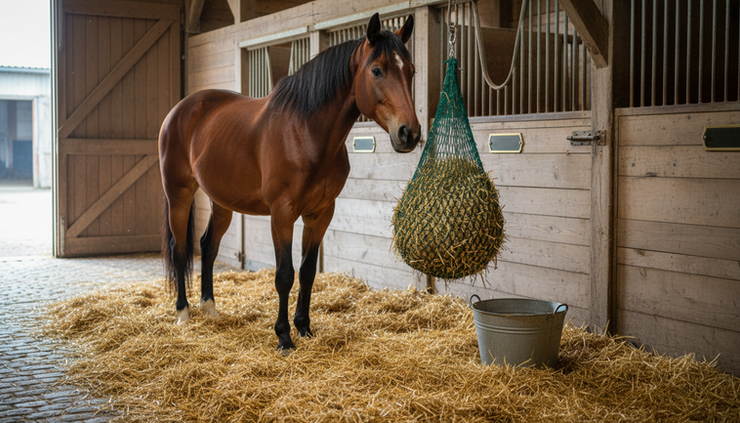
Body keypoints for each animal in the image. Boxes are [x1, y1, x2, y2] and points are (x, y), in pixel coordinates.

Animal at [158, 13, 421, 351]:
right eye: (377, 70)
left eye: (411, 71)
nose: (409, 133)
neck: (304, 133)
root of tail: (180, 110)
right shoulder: (282, 214)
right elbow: (285, 274)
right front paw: (283, 336)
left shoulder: (321, 214)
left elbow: (307, 271)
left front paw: (304, 327)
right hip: (179, 194)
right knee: (180, 249)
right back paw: (183, 313)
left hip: (222, 201)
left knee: (208, 247)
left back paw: (210, 308)